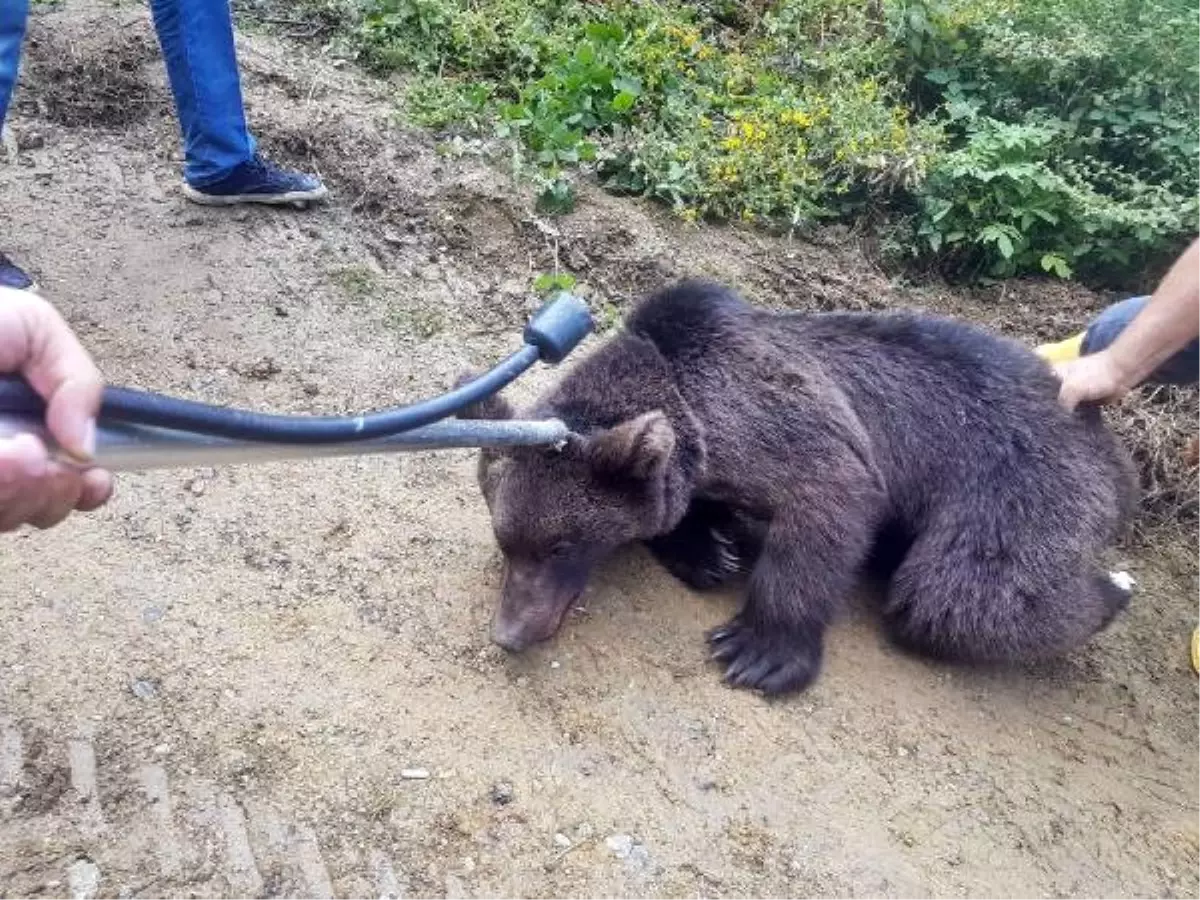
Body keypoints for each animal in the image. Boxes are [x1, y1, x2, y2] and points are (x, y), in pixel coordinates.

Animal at [453, 282, 1137, 696]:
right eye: (507, 543)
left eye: (560, 546)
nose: (509, 632)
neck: (692, 404)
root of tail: (1107, 443)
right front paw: (707, 550)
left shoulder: (777, 423)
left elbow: (827, 502)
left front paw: (756, 651)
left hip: (1019, 479)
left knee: (958, 596)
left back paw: (1113, 589)